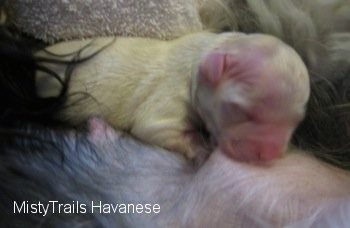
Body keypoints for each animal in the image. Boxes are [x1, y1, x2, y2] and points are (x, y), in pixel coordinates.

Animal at [36, 32, 308, 162]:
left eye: (296, 122)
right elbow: (152, 127)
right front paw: (199, 147)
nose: (270, 155)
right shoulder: (169, 98)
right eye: (242, 111)